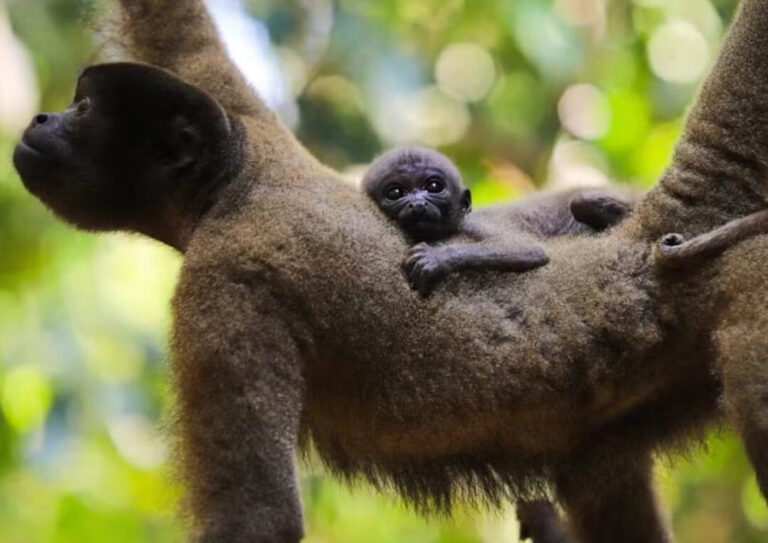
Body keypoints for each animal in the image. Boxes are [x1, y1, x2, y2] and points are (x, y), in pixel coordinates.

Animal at [362, 145, 637, 295]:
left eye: (434, 187)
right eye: (396, 193)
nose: (418, 204)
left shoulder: (473, 224)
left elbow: (527, 249)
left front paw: (437, 258)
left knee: (580, 202)